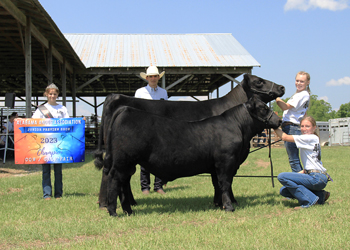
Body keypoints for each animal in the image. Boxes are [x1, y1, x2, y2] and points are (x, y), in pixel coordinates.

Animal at [95, 73, 284, 208]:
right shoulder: (227, 159)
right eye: (258, 81)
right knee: (109, 173)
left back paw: (129, 203)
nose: (282, 87)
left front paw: (219, 202)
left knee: (123, 177)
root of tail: (115, 96)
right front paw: (230, 201)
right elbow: (225, 181)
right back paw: (105, 204)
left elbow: (218, 182)